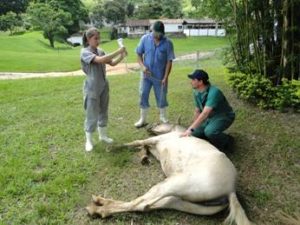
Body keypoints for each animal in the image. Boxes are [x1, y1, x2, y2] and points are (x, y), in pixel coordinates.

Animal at [86, 123, 253, 225]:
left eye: (161, 123)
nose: (149, 126)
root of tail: (230, 191)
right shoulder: (156, 148)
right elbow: (144, 146)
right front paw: (143, 157)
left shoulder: (156, 138)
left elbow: (138, 142)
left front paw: (113, 148)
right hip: (185, 201)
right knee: (154, 204)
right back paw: (100, 203)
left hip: (173, 184)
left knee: (141, 203)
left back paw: (99, 208)